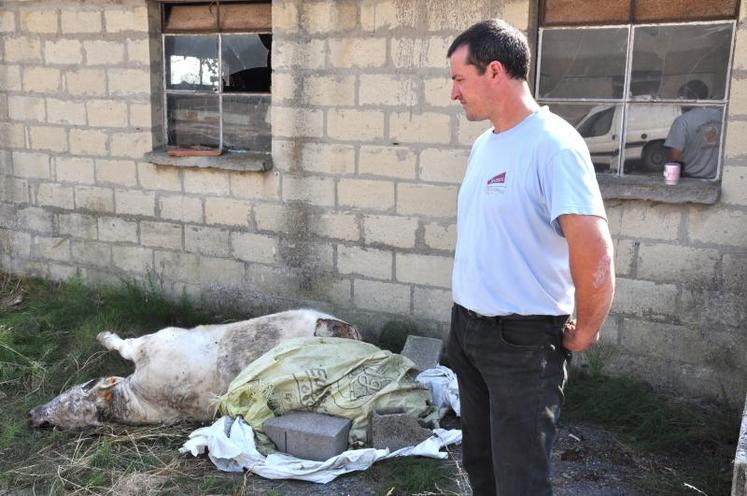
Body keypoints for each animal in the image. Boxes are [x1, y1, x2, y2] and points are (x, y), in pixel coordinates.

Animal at [30, 310, 364, 430]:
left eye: (76, 392)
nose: (31, 415)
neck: (139, 395)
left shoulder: (150, 343)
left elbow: (123, 344)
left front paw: (103, 336)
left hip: (325, 326)